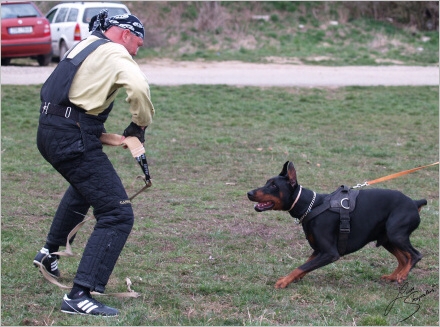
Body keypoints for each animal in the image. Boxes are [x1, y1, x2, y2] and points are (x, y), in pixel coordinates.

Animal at [248, 161, 426, 290]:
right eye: (267, 182)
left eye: (273, 186)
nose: (249, 193)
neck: (310, 206)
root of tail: (415, 202)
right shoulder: (318, 249)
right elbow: (306, 265)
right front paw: (290, 278)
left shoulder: (330, 253)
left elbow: (301, 266)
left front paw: (284, 282)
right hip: (387, 238)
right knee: (404, 258)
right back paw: (393, 276)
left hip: (396, 233)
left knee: (415, 255)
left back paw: (402, 275)